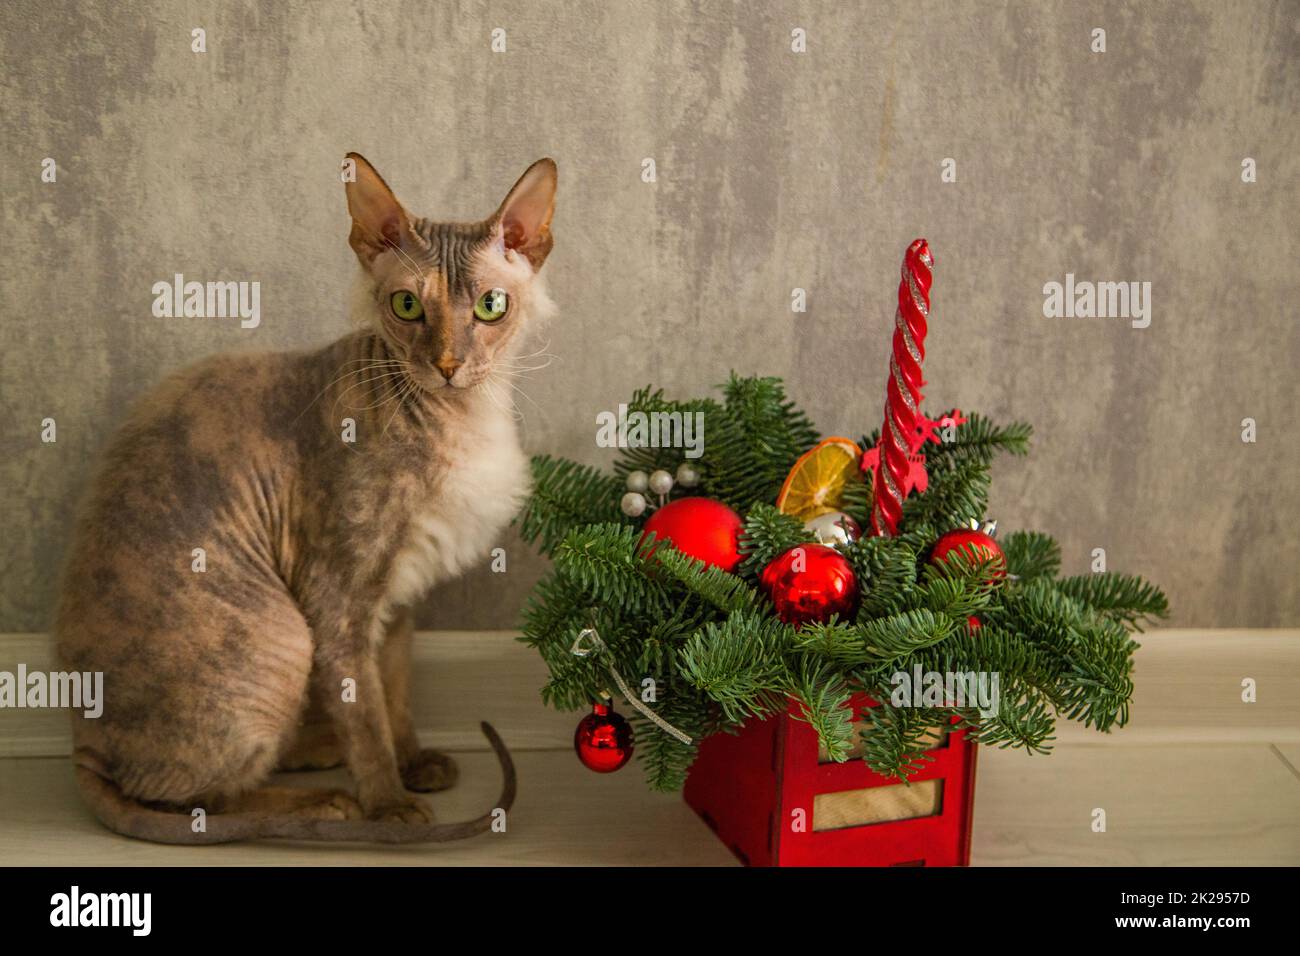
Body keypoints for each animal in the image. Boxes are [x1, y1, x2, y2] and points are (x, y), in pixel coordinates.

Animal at [54, 151, 559, 842]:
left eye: (490, 306)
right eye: (407, 306)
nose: (449, 364)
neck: (467, 416)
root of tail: (84, 749)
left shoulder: (400, 594)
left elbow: (394, 691)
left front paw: (413, 762)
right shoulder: (337, 597)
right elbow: (365, 711)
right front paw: (389, 803)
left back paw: (315, 752)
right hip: (286, 634)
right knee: (197, 801)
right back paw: (326, 802)